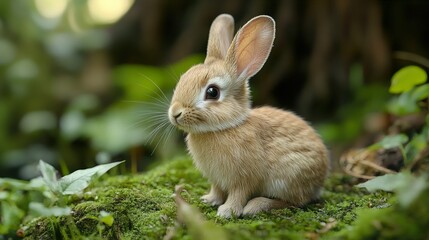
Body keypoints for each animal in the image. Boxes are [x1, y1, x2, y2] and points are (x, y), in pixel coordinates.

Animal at [167, 14, 328, 218]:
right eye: (183, 79)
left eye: (212, 92)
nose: (175, 113)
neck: (225, 127)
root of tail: (320, 180)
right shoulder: (217, 180)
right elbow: (217, 190)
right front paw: (209, 199)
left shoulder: (244, 178)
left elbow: (239, 193)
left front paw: (227, 211)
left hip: (289, 177)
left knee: (295, 202)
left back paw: (256, 205)